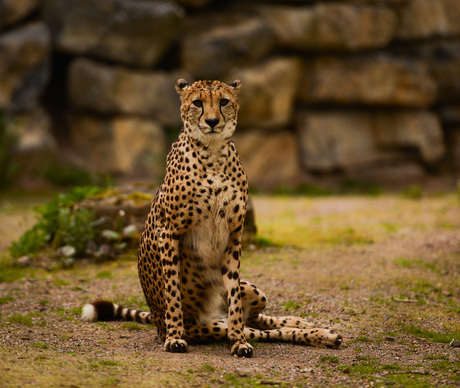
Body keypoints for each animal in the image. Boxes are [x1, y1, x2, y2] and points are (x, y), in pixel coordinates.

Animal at [82, 79, 342, 358]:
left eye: (223, 101)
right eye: (197, 103)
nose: (212, 121)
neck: (214, 153)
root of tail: (155, 319)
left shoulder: (234, 235)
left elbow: (235, 300)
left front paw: (238, 342)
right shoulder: (169, 232)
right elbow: (172, 290)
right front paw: (175, 338)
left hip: (255, 291)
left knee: (261, 320)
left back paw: (311, 327)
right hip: (210, 326)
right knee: (263, 329)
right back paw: (320, 334)